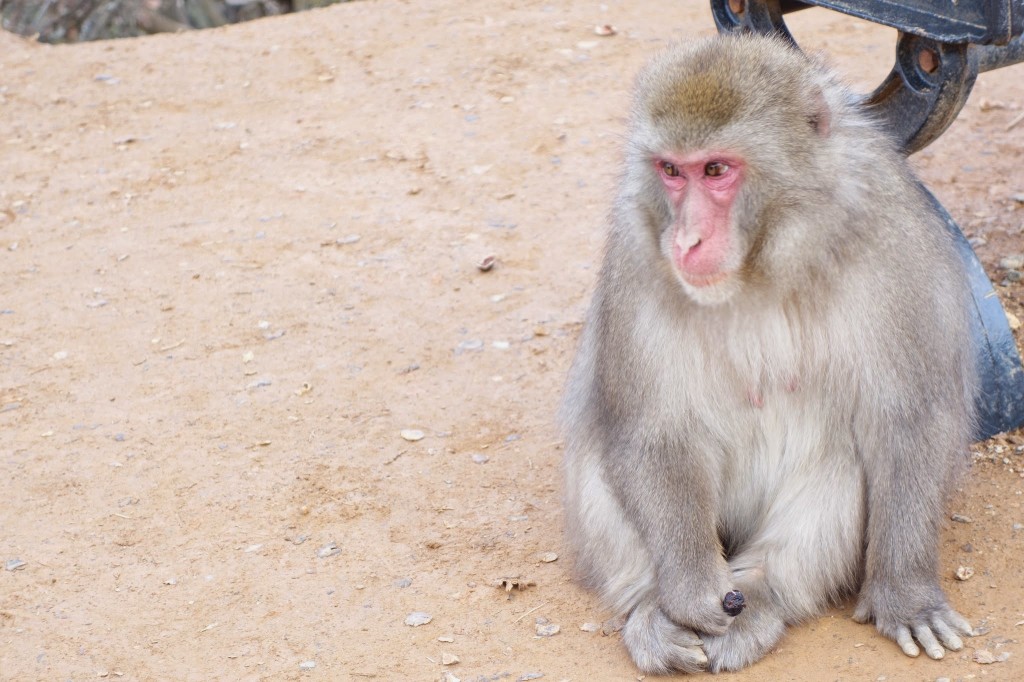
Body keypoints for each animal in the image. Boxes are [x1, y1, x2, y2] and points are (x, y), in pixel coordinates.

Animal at [565, 34, 978, 671]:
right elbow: (652, 429)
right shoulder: (636, 250)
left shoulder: (890, 242)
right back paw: (655, 615)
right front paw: (688, 592)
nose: (685, 240)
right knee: (601, 450)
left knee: (839, 464)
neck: (765, 260)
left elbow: (909, 418)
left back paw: (760, 596)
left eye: (715, 169)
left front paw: (906, 595)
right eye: (670, 171)